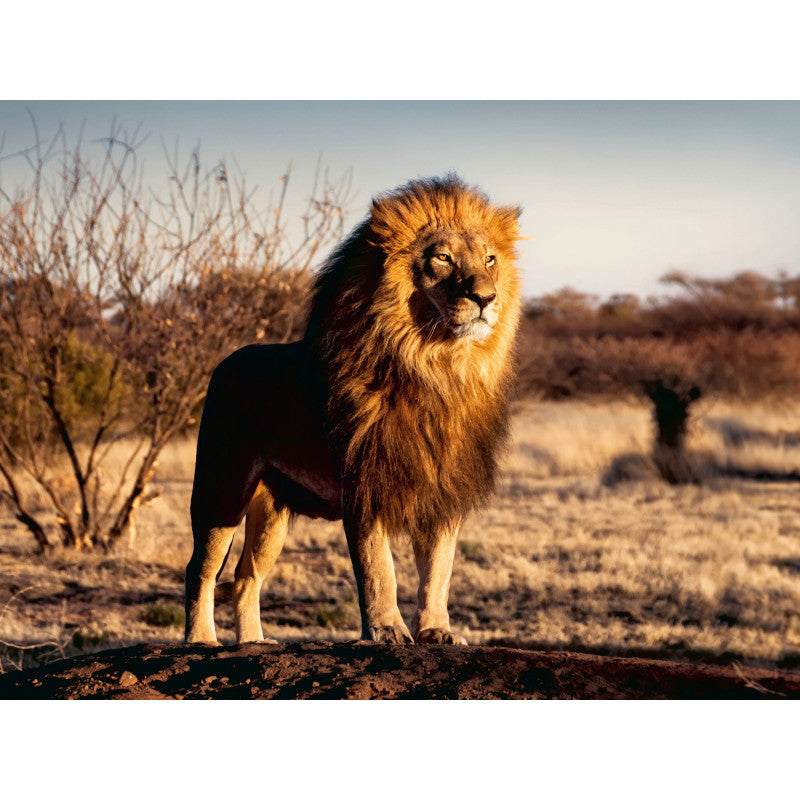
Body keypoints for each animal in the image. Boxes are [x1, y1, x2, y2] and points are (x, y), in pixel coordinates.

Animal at [185, 175, 522, 645]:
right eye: (442, 258)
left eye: (490, 259)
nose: (486, 297)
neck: (437, 367)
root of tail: (226, 362)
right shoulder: (364, 482)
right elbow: (379, 568)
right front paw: (387, 630)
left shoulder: (444, 488)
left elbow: (439, 570)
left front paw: (436, 630)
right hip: (222, 489)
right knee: (200, 569)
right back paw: (200, 639)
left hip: (271, 513)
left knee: (246, 577)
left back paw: (253, 642)